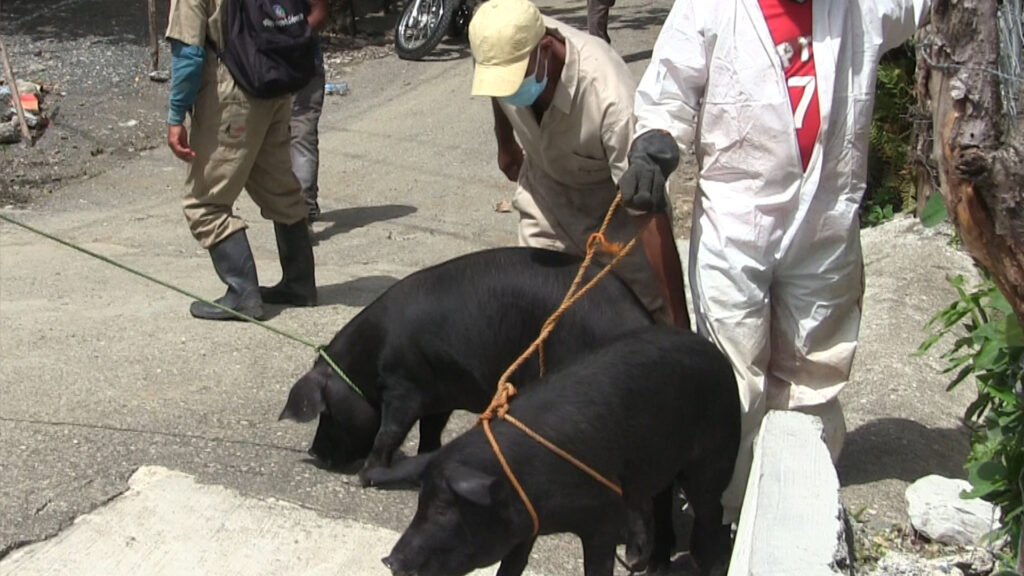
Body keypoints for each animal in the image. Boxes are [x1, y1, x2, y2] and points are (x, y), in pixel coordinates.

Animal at [276, 243, 651, 481]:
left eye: (325, 414)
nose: (314, 452)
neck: (365, 363)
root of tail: (640, 319)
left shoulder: (404, 386)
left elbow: (390, 430)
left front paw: (368, 475)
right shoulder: (438, 393)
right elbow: (431, 431)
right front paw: (425, 459)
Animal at [380, 325, 741, 573]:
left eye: (443, 508)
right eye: (419, 501)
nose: (390, 560)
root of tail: (715, 355)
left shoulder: (602, 516)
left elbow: (596, 566)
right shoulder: (527, 524)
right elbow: (512, 565)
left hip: (715, 456)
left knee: (710, 511)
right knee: (659, 497)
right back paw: (649, 565)